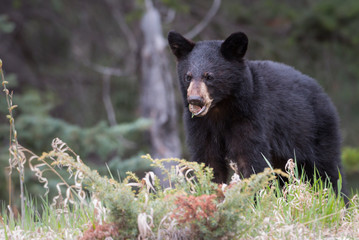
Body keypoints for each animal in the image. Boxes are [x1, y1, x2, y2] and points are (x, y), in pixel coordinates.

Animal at [169, 30, 348, 196]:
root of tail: (323, 94)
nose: (195, 100)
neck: (220, 110)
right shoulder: (200, 125)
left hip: (316, 132)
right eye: (188, 76)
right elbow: (208, 161)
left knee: (327, 170)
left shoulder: (251, 116)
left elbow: (251, 158)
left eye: (209, 76)